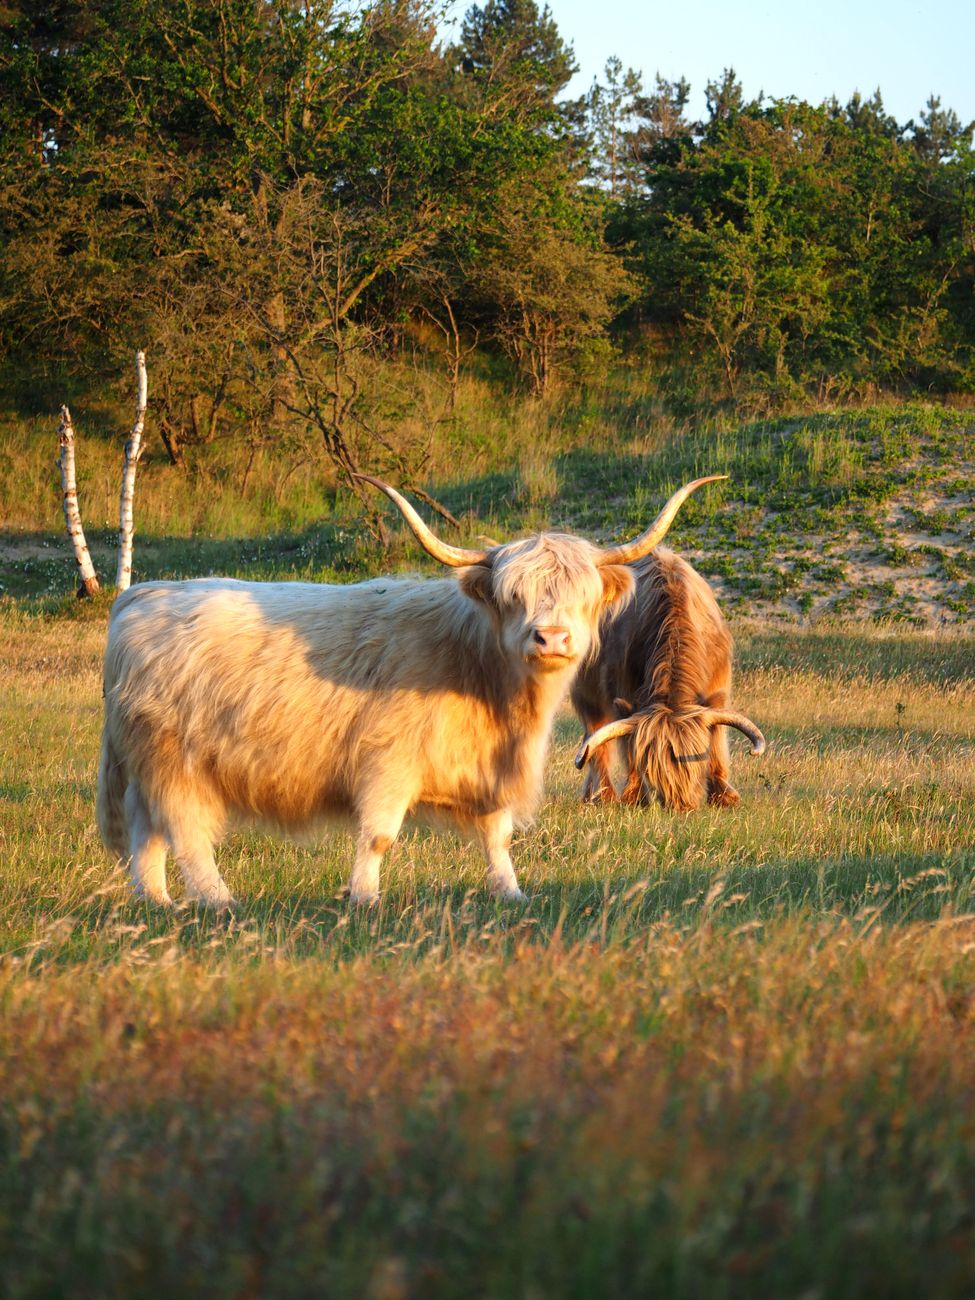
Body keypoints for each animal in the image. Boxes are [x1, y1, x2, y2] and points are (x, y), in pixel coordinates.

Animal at [96, 474, 721, 908]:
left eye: (583, 593)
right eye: (513, 594)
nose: (551, 637)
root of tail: (142, 596)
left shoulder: (486, 771)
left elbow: (497, 837)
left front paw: (511, 892)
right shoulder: (386, 764)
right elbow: (377, 837)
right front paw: (364, 899)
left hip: (150, 767)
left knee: (146, 834)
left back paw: (157, 902)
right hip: (176, 762)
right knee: (184, 833)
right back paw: (219, 901)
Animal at [571, 546, 765, 813]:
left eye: (694, 767)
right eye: (655, 772)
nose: (681, 806)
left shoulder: (717, 688)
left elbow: (717, 737)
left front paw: (724, 795)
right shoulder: (622, 691)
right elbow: (628, 745)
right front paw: (634, 796)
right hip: (586, 692)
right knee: (595, 737)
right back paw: (602, 795)